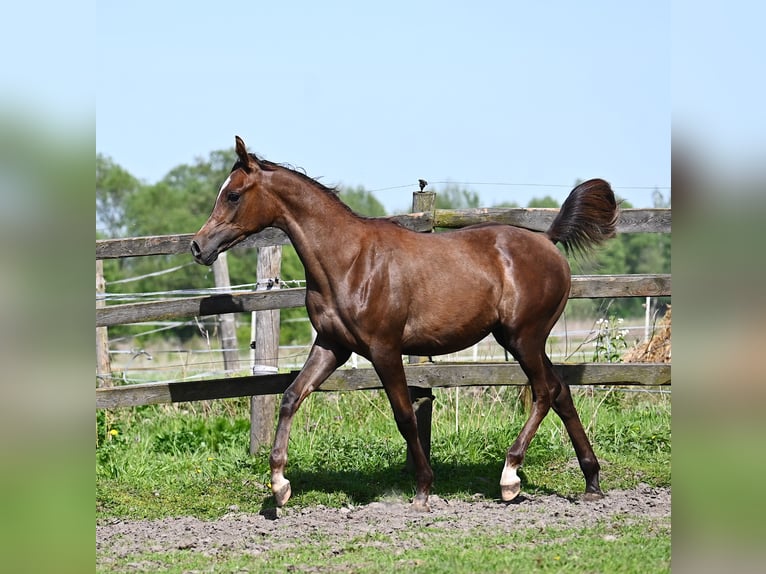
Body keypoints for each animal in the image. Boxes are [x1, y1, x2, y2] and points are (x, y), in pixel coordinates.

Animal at [192, 136, 616, 512]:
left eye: (233, 195)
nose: (198, 246)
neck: (348, 261)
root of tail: (548, 241)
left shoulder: (384, 349)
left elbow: (405, 416)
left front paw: (423, 489)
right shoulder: (332, 346)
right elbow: (291, 396)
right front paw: (280, 487)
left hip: (523, 338)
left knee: (544, 392)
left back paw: (510, 477)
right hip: (522, 340)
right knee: (561, 392)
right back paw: (591, 481)